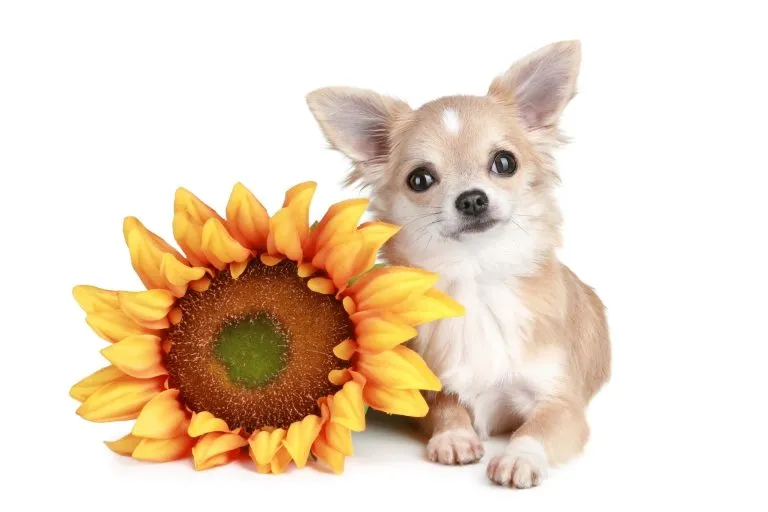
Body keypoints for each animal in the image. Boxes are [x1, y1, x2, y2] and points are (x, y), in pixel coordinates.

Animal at [306, 40, 612, 488]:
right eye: (420, 179)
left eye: (505, 162)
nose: (471, 199)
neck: (476, 278)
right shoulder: (429, 391)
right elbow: (447, 408)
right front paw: (454, 437)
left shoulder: (563, 403)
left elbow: (534, 428)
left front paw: (518, 458)